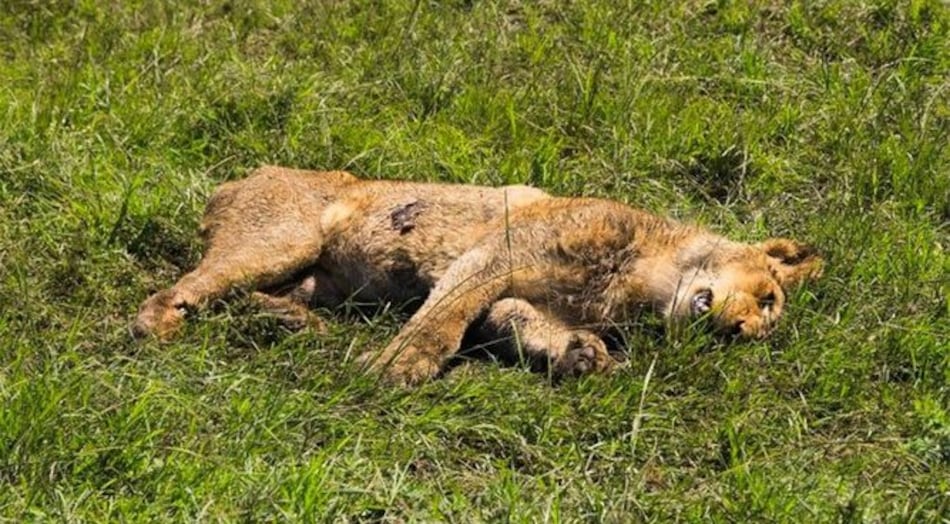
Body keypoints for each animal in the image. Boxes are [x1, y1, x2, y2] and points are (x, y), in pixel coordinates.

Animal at [134, 166, 824, 385]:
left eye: (767, 317)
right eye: (767, 297)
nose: (741, 330)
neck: (640, 283)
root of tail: (239, 178)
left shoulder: (516, 294)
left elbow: (514, 320)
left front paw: (580, 356)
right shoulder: (498, 251)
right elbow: (441, 319)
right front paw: (395, 369)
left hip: (315, 276)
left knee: (251, 297)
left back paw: (288, 322)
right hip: (282, 238)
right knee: (186, 287)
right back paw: (158, 325)